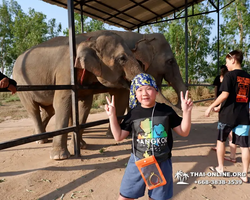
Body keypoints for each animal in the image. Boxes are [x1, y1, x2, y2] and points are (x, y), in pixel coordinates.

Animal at [13, 30, 143, 159]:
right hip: (21, 85)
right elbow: (61, 103)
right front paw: (59, 157)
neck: (90, 40)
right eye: (122, 58)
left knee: (48, 110)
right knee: (33, 109)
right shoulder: (65, 71)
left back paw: (39, 136)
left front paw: (80, 146)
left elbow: (84, 105)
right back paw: (41, 141)